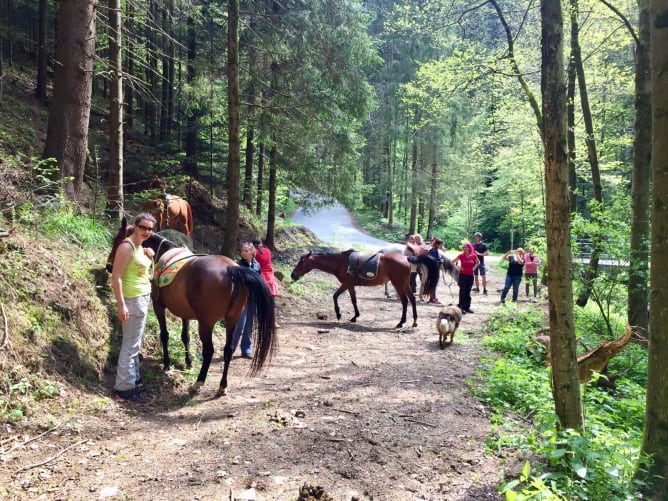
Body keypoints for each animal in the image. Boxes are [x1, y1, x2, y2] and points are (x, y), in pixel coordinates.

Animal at [107, 219, 276, 394]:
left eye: (117, 240)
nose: (109, 266)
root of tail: (231, 269)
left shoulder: (158, 305)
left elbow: (164, 335)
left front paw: (167, 364)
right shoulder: (185, 312)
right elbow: (185, 336)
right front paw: (188, 362)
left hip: (206, 323)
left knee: (209, 350)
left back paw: (198, 383)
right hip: (232, 319)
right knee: (228, 349)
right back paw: (222, 386)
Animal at [290, 250, 438, 328]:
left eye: (301, 263)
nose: (292, 275)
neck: (341, 262)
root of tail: (406, 258)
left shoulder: (346, 283)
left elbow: (335, 296)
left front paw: (338, 314)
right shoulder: (350, 285)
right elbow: (354, 300)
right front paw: (355, 316)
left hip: (398, 284)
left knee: (405, 301)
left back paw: (401, 322)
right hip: (404, 284)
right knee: (412, 299)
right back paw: (414, 321)